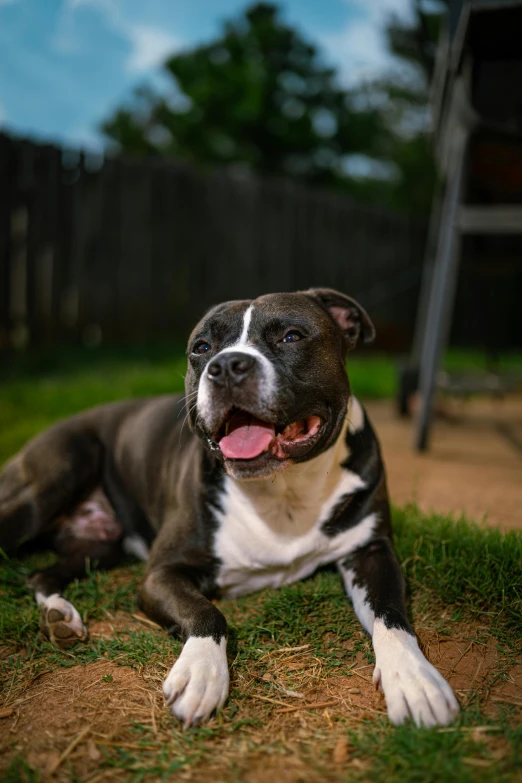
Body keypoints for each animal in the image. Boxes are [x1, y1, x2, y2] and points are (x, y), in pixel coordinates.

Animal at [0, 288, 456, 728]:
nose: (226, 366)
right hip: (54, 478)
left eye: (291, 336)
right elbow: (208, 613)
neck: (281, 490)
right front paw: (201, 673)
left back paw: (59, 614)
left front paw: (414, 679)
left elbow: (391, 614)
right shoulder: (161, 574)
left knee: (42, 574)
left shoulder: (371, 550)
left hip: (99, 544)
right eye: (202, 347)